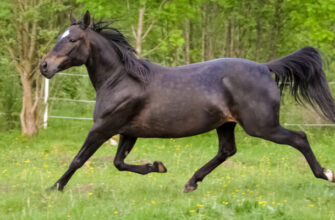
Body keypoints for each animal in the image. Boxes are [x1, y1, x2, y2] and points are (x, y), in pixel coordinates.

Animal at [40, 11, 335, 192]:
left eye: (73, 39)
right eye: (59, 37)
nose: (44, 66)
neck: (121, 79)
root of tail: (265, 67)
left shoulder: (103, 128)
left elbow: (79, 159)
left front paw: (54, 188)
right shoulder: (127, 132)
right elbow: (119, 163)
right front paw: (157, 167)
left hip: (262, 126)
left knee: (299, 138)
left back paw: (326, 174)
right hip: (226, 124)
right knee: (226, 151)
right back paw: (191, 182)